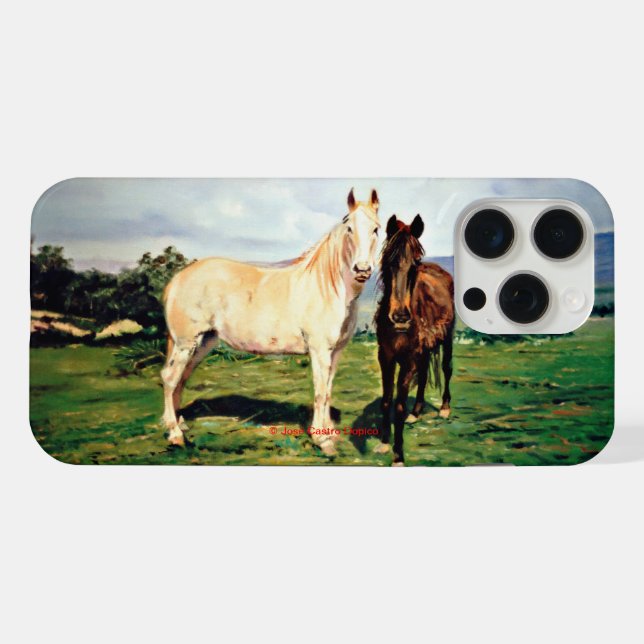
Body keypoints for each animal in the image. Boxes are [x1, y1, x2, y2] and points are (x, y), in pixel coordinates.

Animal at [161, 188, 381, 455]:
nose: (362, 269)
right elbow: (319, 392)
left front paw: (329, 433)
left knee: (182, 377)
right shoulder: (319, 351)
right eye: (349, 228)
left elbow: (328, 391)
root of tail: (178, 279)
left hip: (203, 342)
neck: (329, 287)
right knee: (170, 378)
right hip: (186, 342)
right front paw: (322, 439)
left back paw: (180, 424)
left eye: (376, 229)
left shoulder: (335, 352)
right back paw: (175, 435)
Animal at [375, 214, 455, 465]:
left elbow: (399, 405)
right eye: (388, 260)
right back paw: (416, 412)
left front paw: (398, 455)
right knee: (424, 375)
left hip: (448, 337)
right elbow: (387, 400)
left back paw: (445, 408)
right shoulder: (385, 357)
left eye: (416, 262)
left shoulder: (408, 360)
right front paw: (383, 442)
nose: (400, 317)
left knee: (447, 368)